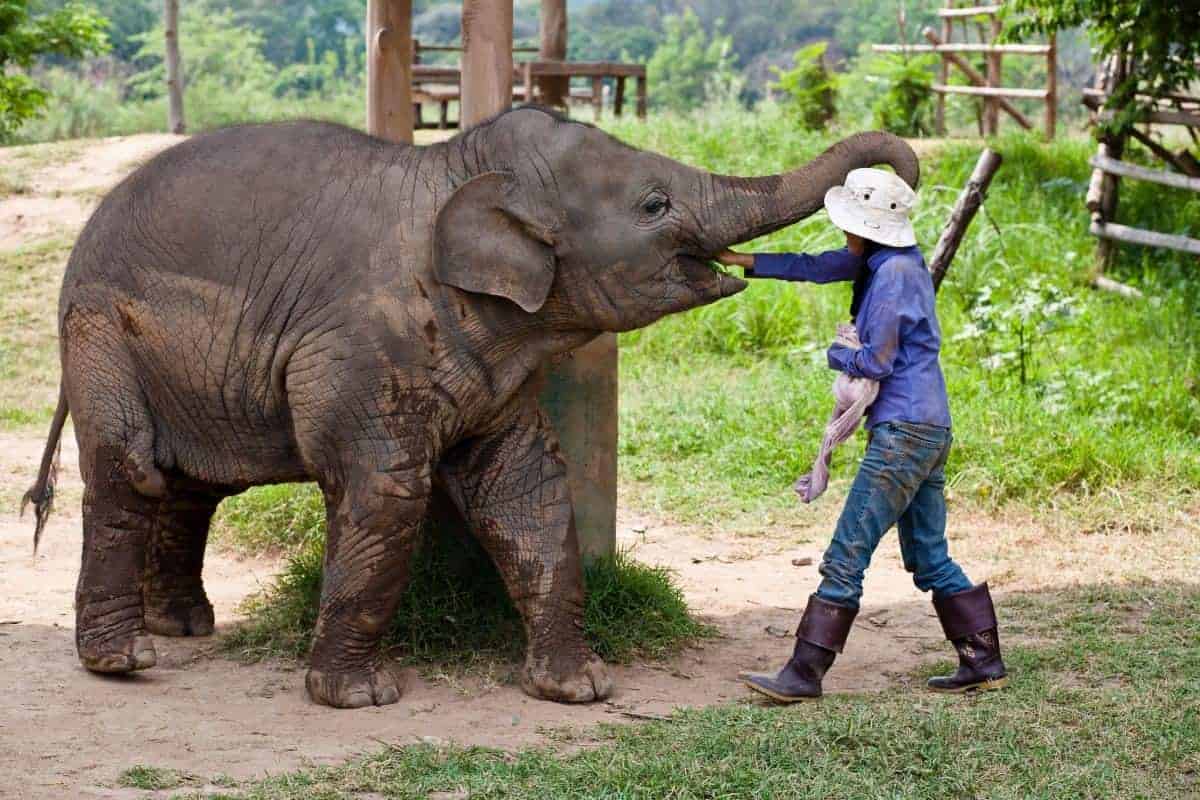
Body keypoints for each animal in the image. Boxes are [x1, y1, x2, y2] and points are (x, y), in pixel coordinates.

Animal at [24, 106, 919, 709]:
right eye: (654, 205)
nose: (891, 183)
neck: (456, 170)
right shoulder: (365, 344)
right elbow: (387, 493)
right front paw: (361, 698)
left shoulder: (494, 359)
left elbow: (525, 490)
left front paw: (579, 687)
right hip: (100, 326)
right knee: (130, 468)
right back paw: (126, 660)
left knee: (192, 484)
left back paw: (183, 628)